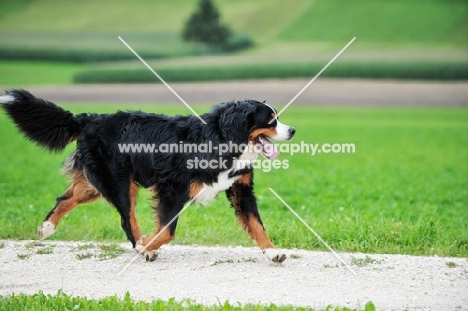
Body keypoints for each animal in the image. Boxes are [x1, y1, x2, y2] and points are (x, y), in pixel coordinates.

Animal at [0, 90, 296, 264]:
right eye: (270, 120)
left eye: (278, 118)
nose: (292, 130)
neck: (222, 138)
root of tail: (89, 119)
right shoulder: (172, 188)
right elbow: (167, 230)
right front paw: (147, 245)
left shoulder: (241, 189)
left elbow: (257, 225)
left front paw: (273, 251)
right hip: (118, 181)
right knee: (126, 218)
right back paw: (142, 245)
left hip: (97, 183)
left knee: (66, 198)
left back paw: (46, 227)